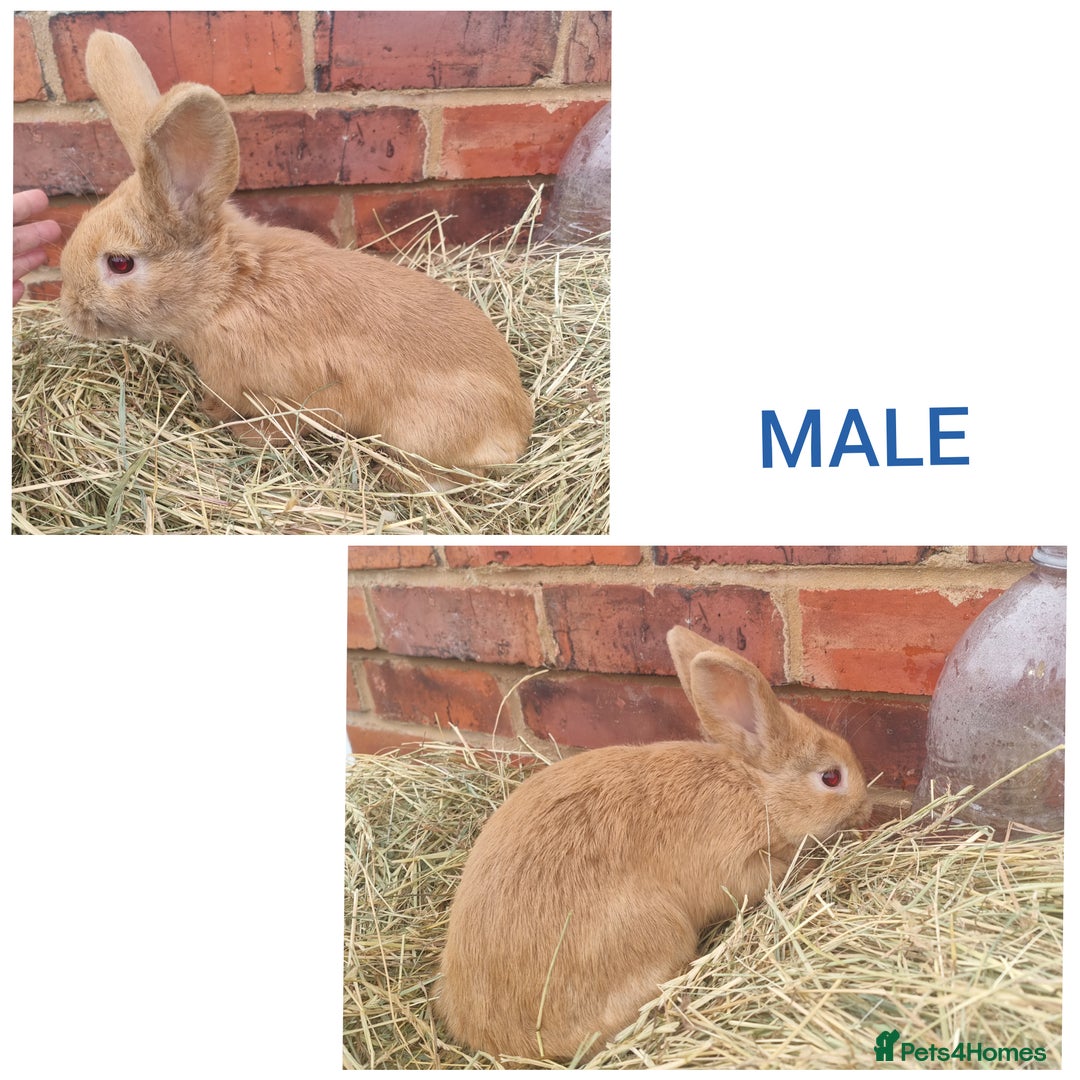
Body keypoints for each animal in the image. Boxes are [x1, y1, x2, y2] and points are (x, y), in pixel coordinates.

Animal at [59, 31, 533, 477]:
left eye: (119, 263)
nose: (70, 311)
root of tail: (517, 421)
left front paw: (241, 434)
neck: (228, 291)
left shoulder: (277, 395)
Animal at [435, 625, 873, 1060]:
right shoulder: (733, 867)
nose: (866, 808)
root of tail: (502, 1040)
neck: (756, 790)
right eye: (831, 777)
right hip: (654, 931)